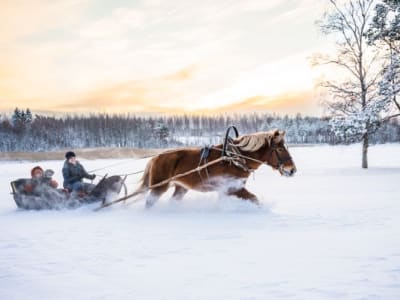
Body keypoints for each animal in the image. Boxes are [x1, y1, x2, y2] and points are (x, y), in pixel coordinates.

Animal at [136, 127, 296, 207]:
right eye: (280, 149)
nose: (292, 169)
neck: (235, 158)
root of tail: (155, 157)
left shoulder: (226, 190)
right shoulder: (233, 188)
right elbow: (255, 199)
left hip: (181, 187)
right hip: (159, 187)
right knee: (149, 202)